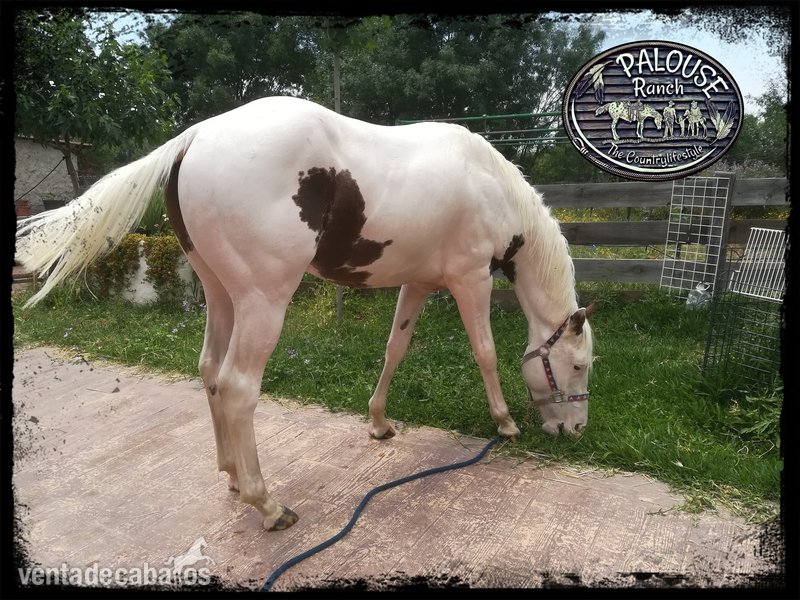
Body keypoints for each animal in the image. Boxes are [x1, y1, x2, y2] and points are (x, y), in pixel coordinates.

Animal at [16, 96, 596, 531]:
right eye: (578, 365)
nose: (574, 430)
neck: (488, 183)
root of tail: (195, 138)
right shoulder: (471, 280)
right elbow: (487, 352)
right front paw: (505, 423)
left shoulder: (416, 284)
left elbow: (395, 349)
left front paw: (379, 422)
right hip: (264, 301)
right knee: (237, 387)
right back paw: (267, 505)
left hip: (221, 295)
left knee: (209, 370)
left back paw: (232, 474)